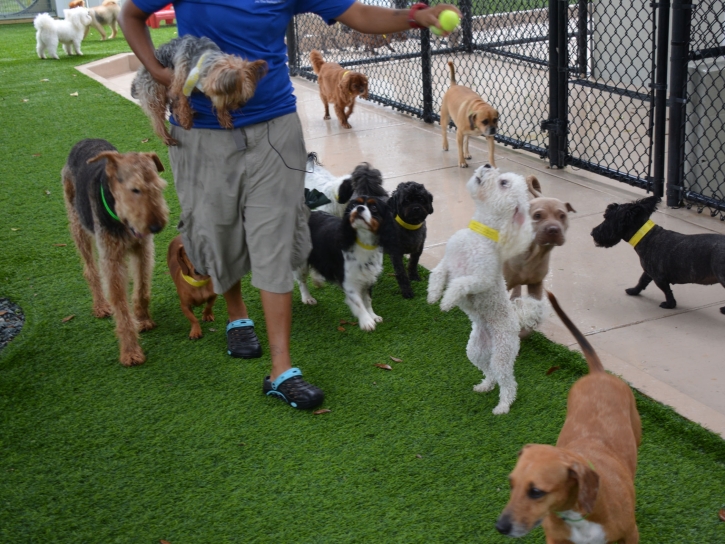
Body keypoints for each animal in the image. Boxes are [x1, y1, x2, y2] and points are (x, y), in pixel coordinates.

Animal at [336, 169, 432, 300]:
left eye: (422, 199)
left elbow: (413, 263)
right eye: (406, 200)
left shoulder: (418, 248)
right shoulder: (396, 254)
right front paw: (407, 291)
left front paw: (414, 276)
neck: (409, 226)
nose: (416, 208)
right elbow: (401, 273)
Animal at [424, 164, 544, 414]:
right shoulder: (448, 262)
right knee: (490, 372)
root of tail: (516, 320)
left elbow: (460, 284)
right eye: (500, 175)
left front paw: (447, 301)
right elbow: (437, 274)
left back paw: (503, 406)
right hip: (476, 350)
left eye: (503, 183)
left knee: (508, 381)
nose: (487, 166)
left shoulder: (481, 279)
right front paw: (433, 295)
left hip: (503, 352)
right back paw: (485, 386)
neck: (478, 234)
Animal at [494, 294, 640, 544]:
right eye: (511, 483)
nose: (500, 527)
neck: (578, 515)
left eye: (536, 492)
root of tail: (598, 373)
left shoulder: (631, 533)